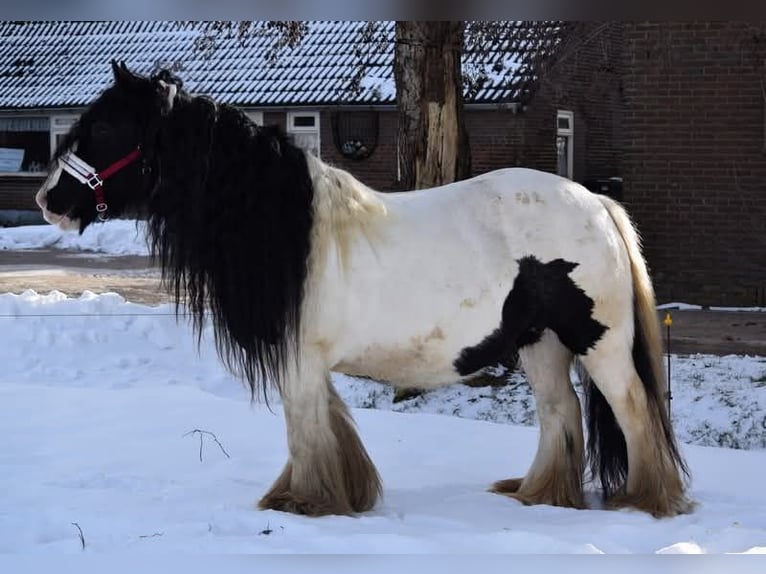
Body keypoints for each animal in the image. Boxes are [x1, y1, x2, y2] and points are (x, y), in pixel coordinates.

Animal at [35, 61, 692, 518]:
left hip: (597, 341)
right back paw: (538, 495)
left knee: (633, 409)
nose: (49, 200)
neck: (286, 224)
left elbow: (305, 429)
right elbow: (331, 425)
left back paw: (646, 502)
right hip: (541, 342)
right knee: (562, 412)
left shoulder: (298, 357)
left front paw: (303, 504)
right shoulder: (307, 358)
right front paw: (341, 495)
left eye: (107, 126)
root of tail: (599, 202)